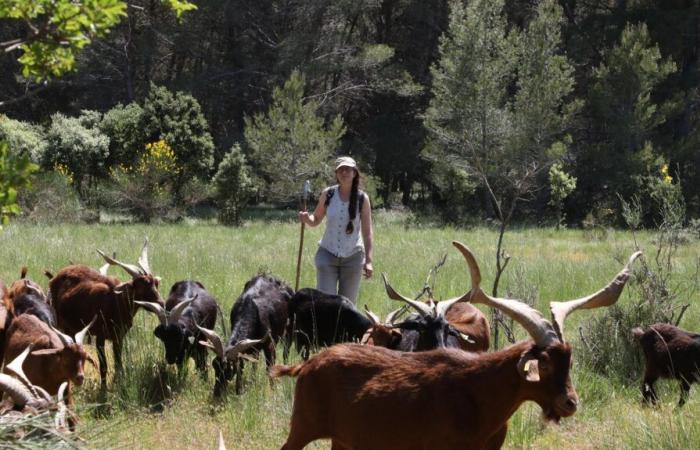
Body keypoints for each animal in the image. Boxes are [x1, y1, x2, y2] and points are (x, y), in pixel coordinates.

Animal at [48, 239, 162, 386]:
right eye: (142, 285)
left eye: (156, 283)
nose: (161, 303)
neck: (116, 304)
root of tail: (55, 277)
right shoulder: (100, 336)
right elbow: (103, 366)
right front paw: (103, 388)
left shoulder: (119, 336)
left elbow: (118, 363)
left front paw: (118, 383)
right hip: (63, 325)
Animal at [270, 243, 644, 450]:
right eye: (546, 362)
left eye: (570, 360)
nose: (570, 403)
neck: (481, 392)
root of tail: (309, 365)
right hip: (303, 426)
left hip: (344, 440)